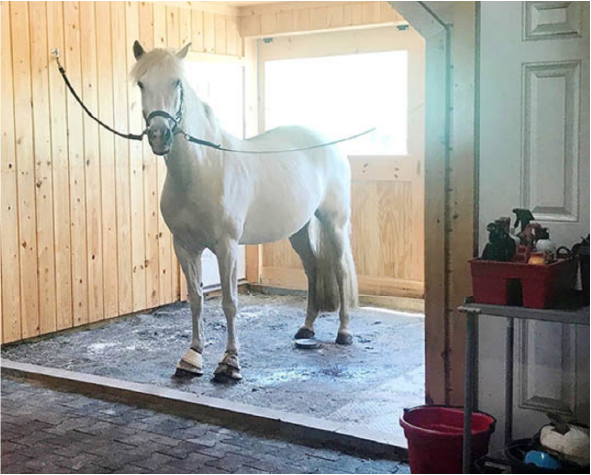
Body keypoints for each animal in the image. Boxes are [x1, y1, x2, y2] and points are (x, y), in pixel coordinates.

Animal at [131, 41, 358, 384]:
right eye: (141, 84)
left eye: (177, 82)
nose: (160, 136)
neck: (202, 170)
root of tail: (326, 142)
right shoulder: (184, 246)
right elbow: (196, 299)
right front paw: (192, 356)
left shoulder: (227, 247)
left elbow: (229, 302)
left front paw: (230, 362)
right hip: (299, 230)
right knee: (313, 268)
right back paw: (306, 328)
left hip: (334, 223)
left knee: (341, 269)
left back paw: (344, 332)